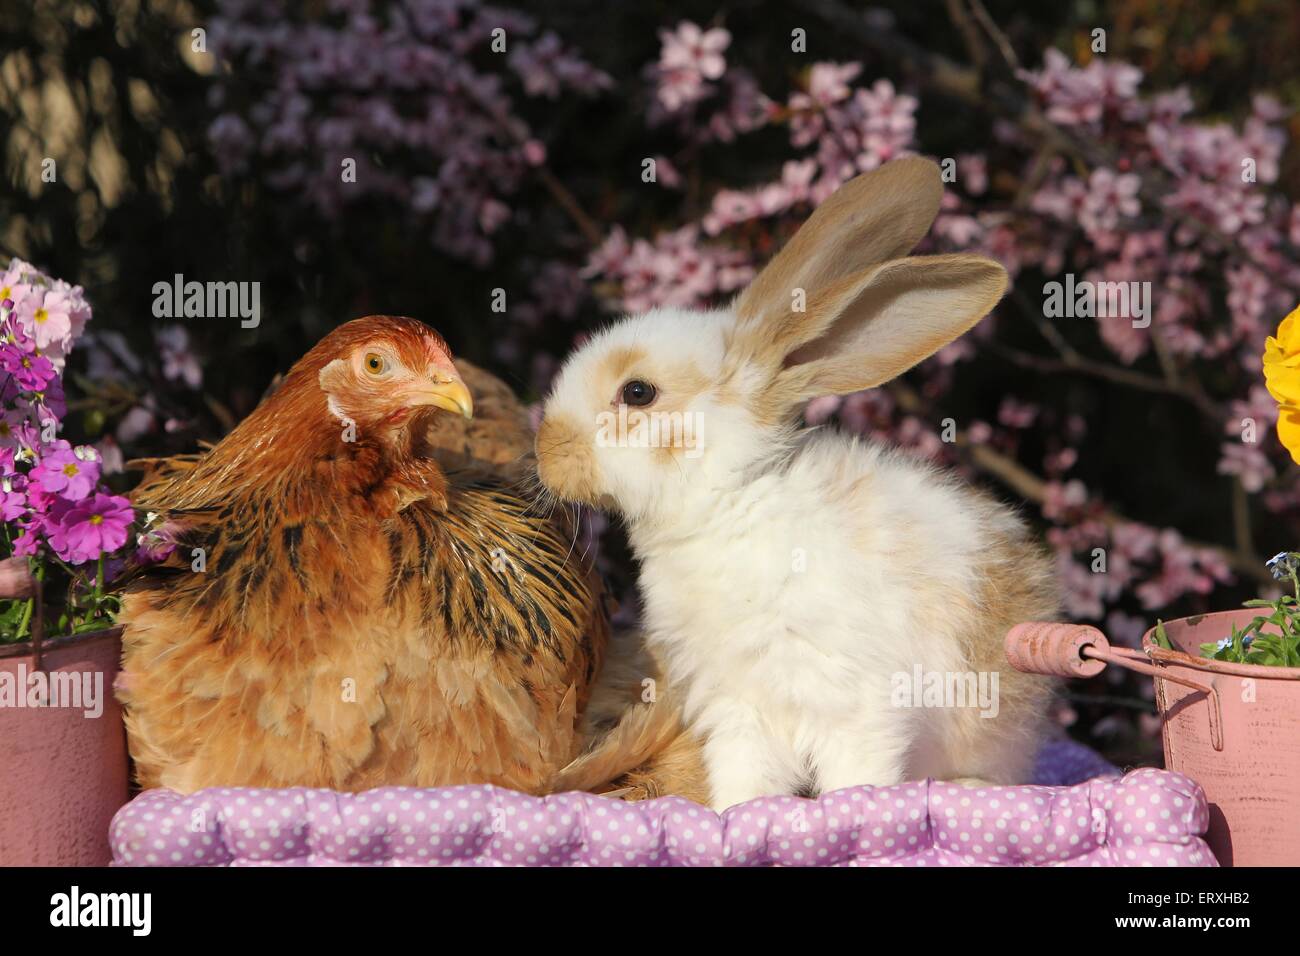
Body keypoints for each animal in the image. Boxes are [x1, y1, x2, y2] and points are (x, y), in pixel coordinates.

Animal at [535, 157, 1059, 812]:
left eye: (637, 392)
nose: (545, 452)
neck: (729, 501)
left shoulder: (854, 701)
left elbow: (858, 770)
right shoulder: (738, 706)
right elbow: (745, 776)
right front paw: (735, 814)